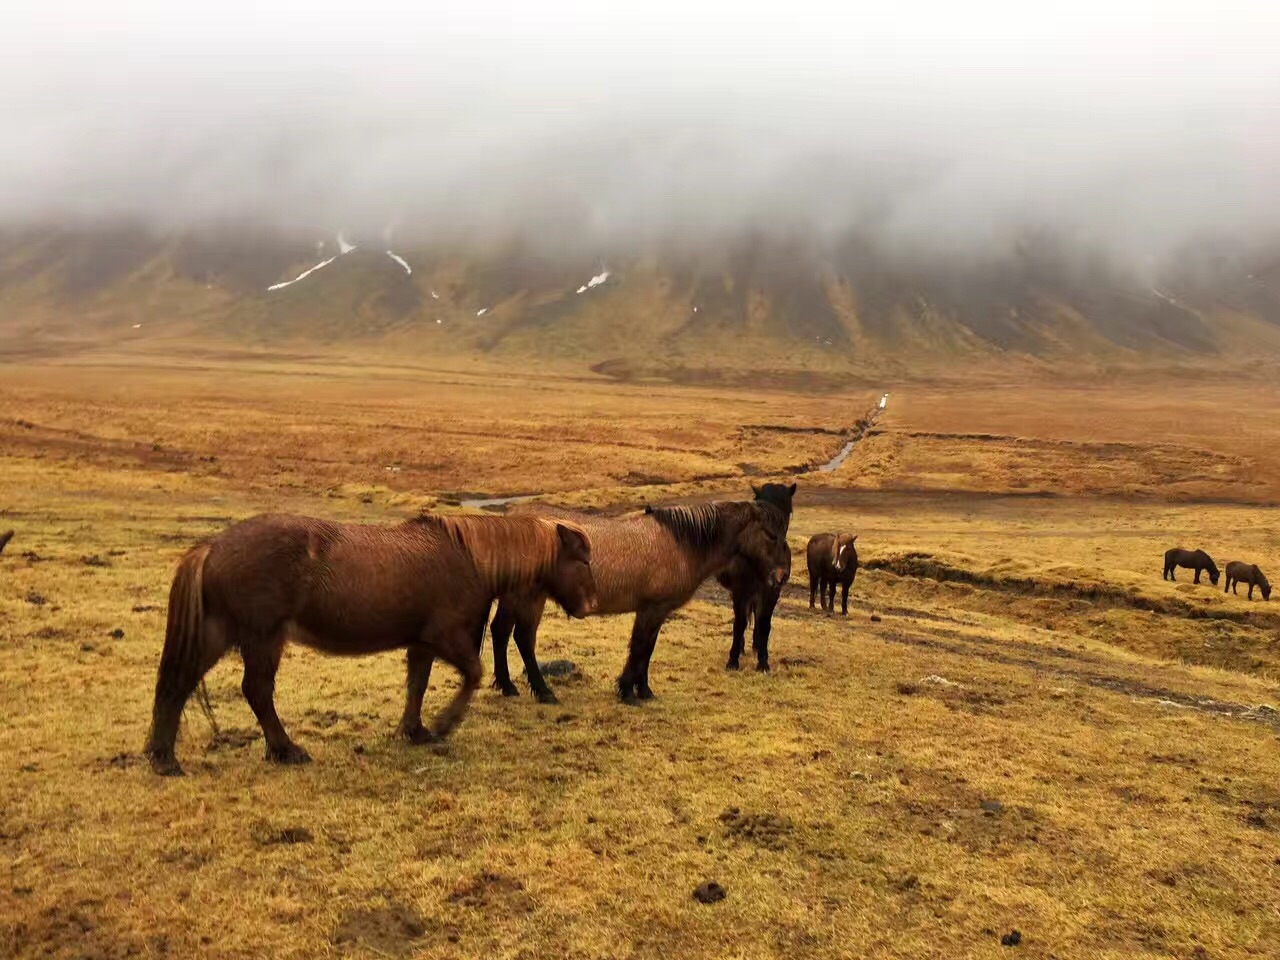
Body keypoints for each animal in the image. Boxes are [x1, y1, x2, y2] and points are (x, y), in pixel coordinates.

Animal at [144, 514, 593, 778]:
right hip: (262, 638)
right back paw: (286, 749)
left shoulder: (422, 642)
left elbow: (417, 686)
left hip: (219, 634)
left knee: (178, 683)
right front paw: (444, 724)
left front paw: (415, 730)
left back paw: (163, 757)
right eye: (582, 560)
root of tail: (213, 547)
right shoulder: (445, 637)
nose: (588, 605)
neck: (469, 558)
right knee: (255, 691)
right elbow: (472, 674)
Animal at [486, 504, 788, 706]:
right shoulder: (650, 609)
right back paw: (543, 691)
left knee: (501, 632)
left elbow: (647, 649)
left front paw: (643, 691)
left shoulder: (657, 611)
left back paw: (507, 686)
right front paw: (627, 691)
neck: (680, 544)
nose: (781, 576)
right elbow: (640, 647)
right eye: (771, 534)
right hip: (527, 598)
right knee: (523, 639)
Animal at [716, 481, 793, 675]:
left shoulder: (772, 592)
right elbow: (740, 623)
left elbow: (764, 623)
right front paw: (733, 660)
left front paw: (763, 662)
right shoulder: (740, 591)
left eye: (788, 511)